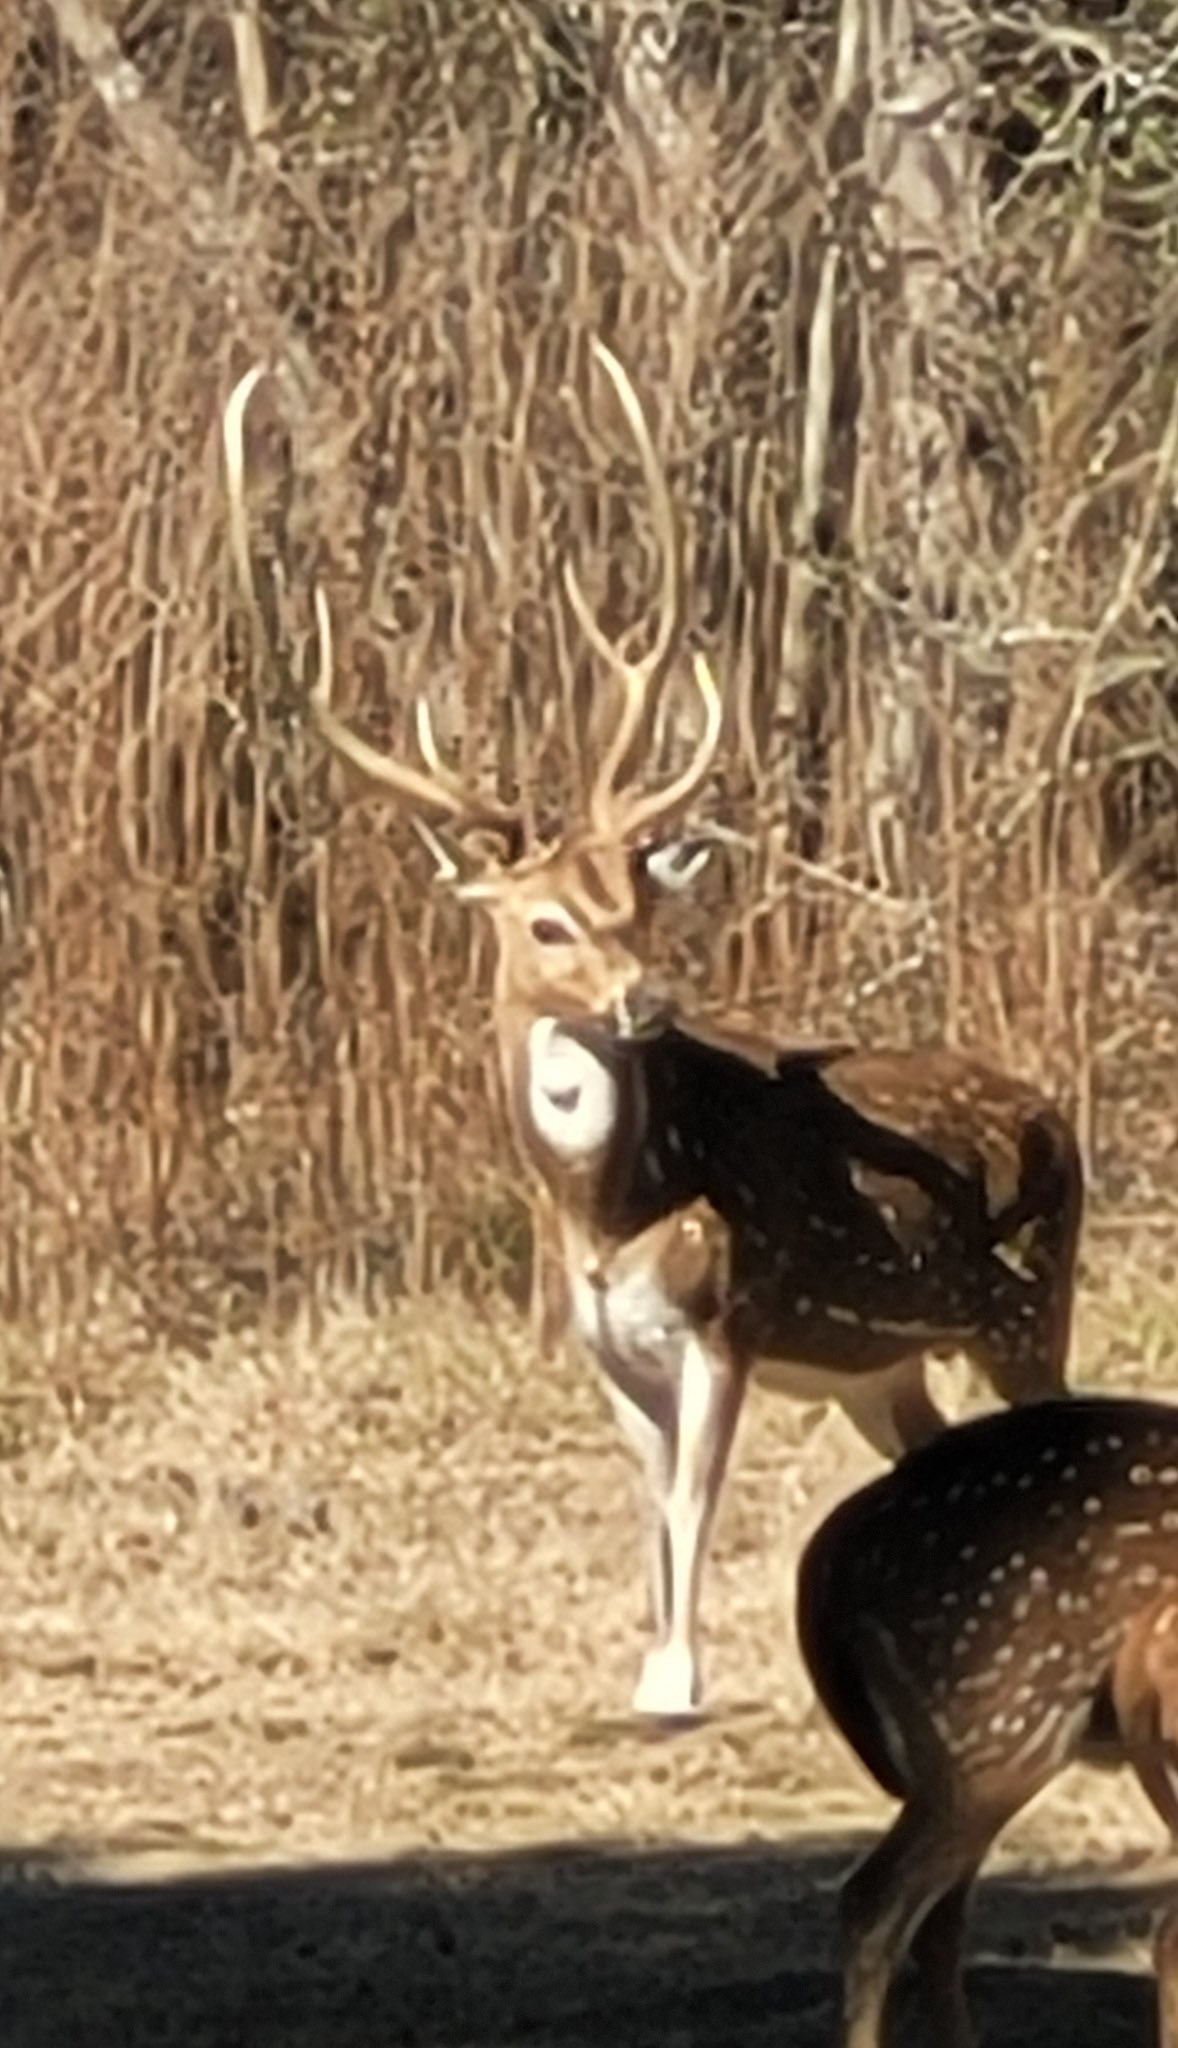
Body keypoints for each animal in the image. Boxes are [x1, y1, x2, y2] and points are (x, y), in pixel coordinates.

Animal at [225, 338, 1084, 1722]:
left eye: (638, 902)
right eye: (542, 923)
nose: (647, 1002)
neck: (603, 1203)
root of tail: (1058, 1114)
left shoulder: (728, 1306)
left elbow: (692, 1489)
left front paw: (676, 1678)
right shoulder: (599, 1337)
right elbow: (647, 1498)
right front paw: (655, 1661)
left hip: (1027, 1300)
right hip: (885, 1361)